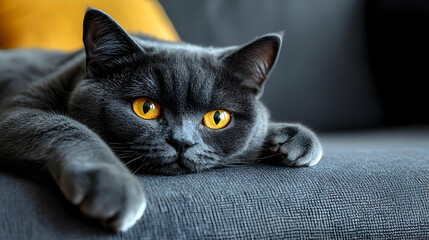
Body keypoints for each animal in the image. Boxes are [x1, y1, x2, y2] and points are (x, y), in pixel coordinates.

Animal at [0, 8, 320, 232]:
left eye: (218, 118)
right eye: (145, 108)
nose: (182, 142)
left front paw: (294, 140)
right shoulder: (14, 111)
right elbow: (66, 126)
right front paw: (112, 188)